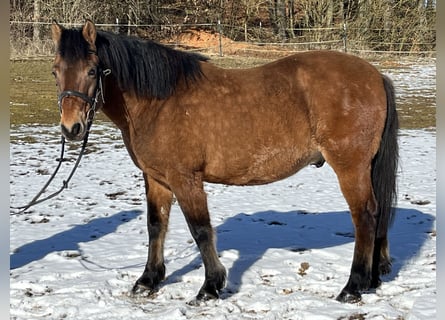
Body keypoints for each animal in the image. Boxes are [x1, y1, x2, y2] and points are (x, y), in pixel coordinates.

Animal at [50, 21, 398, 304]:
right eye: (55, 71)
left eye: (92, 71)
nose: (71, 128)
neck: (158, 103)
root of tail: (375, 75)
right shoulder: (157, 178)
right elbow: (155, 226)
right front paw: (148, 280)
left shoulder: (185, 179)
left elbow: (201, 230)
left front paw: (210, 287)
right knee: (377, 213)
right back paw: (371, 280)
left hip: (350, 167)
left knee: (365, 215)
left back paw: (352, 287)